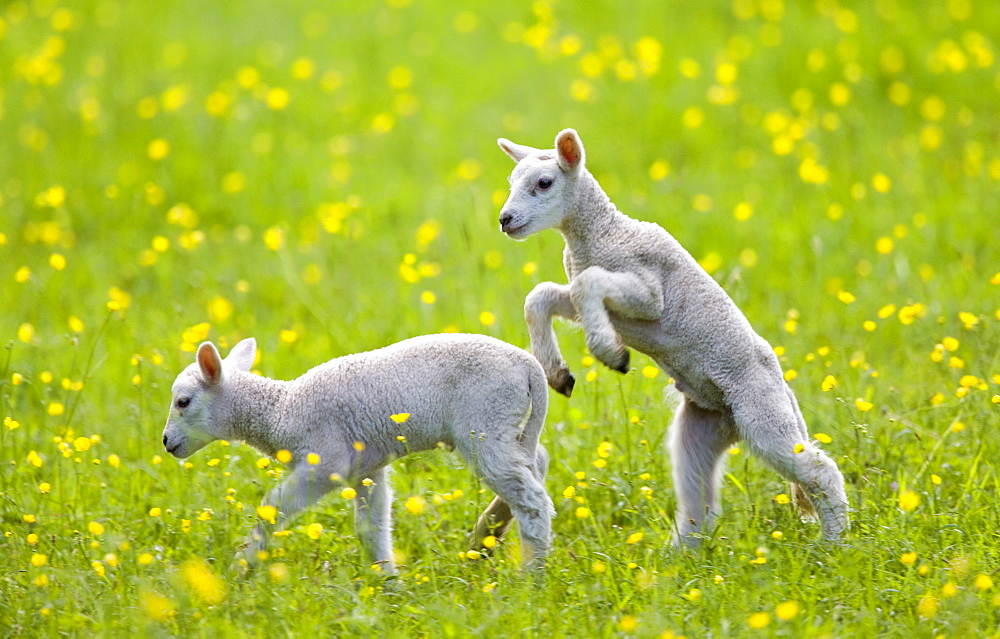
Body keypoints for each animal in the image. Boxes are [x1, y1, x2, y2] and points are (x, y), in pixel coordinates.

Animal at [162, 336, 556, 568]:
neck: (281, 410)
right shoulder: (367, 469)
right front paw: (389, 586)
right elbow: (371, 527)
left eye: (183, 402)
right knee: (536, 463)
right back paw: (485, 537)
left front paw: (242, 569)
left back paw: (531, 578)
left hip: (484, 422)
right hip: (506, 426)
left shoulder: (324, 461)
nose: (166, 442)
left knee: (532, 500)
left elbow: (272, 508)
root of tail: (529, 367)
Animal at [496, 129, 848, 544]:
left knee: (820, 471)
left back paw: (834, 544)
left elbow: (587, 283)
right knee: (698, 503)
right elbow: (542, 297)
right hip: (701, 429)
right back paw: (679, 556)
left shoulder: (650, 293)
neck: (602, 235)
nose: (505, 219)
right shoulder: (607, 304)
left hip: (762, 411)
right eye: (511, 182)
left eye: (544, 183)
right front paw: (558, 374)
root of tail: (784, 390)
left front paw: (610, 353)